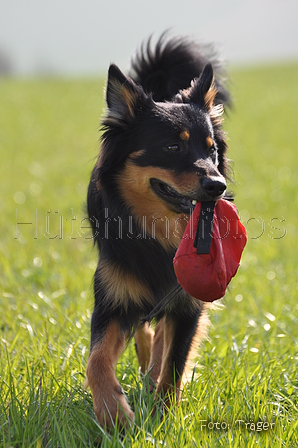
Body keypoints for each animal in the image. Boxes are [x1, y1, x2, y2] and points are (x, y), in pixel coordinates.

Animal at [85, 32, 229, 428]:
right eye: (172, 146)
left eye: (211, 151)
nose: (218, 185)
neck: (158, 234)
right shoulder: (112, 299)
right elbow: (96, 360)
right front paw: (113, 412)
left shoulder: (189, 302)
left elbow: (175, 364)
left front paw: (163, 417)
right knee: (146, 331)